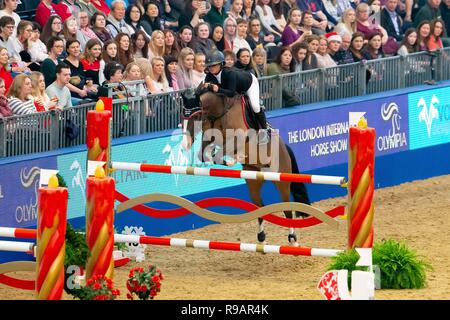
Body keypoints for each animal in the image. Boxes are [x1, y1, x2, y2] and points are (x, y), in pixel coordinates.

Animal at [181, 87, 312, 245]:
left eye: (196, 116)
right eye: (182, 117)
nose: (185, 144)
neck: (219, 112)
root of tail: (285, 149)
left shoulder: (239, 137)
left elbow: (223, 150)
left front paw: (233, 159)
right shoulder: (210, 137)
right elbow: (205, 153)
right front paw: (223, 157)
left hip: (281, 180)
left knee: (287, 209)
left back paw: (293, 239)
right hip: (253, 181)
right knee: (260, 207)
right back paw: (261, 238)